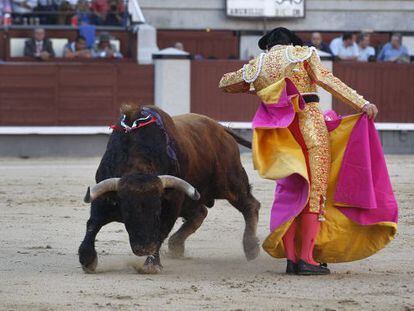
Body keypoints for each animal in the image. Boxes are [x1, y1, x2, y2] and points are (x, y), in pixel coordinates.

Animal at [79, 106, 260, 274]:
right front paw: (87, 260)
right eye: (127, 211)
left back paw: (251, 248)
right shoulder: (103, 198)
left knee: (250, 205)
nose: (144, 249)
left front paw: (151, 264)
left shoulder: (172, 203)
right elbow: (93, 224)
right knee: (200, 213)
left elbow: (161, 231)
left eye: (157, 210)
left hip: (230, 183)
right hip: (194, 198)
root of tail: (220, 128)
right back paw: (176, 245)